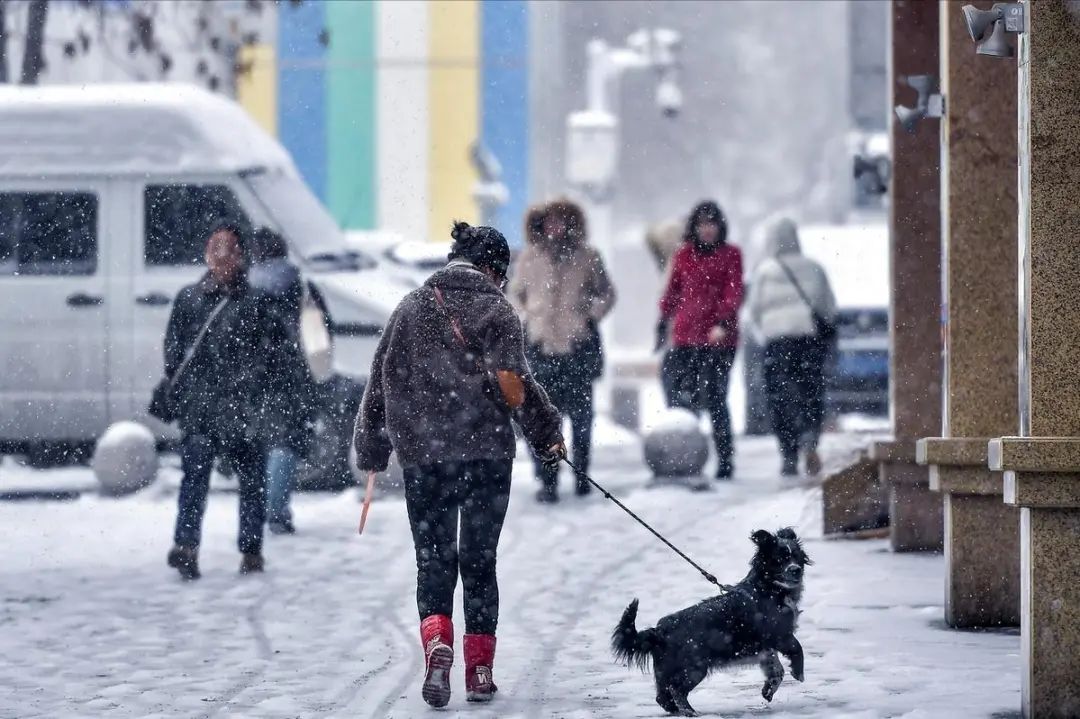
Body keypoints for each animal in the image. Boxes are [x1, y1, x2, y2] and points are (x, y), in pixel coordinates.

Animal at [617, 524, 812, 712]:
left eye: (797, 557)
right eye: (780, 559)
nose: (796, 570)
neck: (770, 588)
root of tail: (659, 632)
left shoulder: (767, 647)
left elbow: (776, 669)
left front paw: (768, 691)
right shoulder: (780, 633)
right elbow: (797, 648)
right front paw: (798, 672)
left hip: (665, 671)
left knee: (662, 696)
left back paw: (676, 710)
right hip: (694, 667)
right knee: (676, 689)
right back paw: (690, 712)